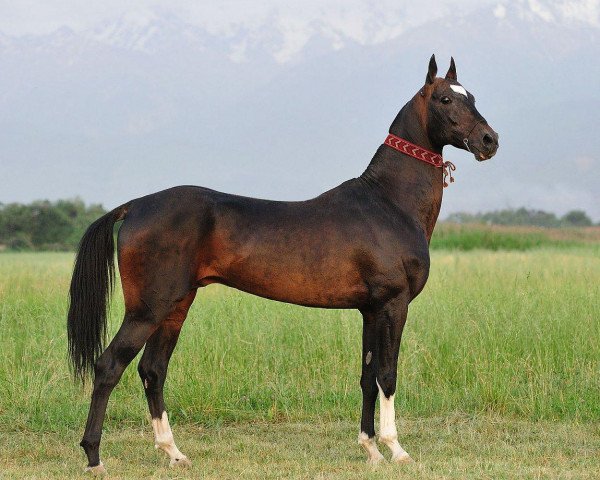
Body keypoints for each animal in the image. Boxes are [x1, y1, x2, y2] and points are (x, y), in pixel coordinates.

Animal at [67, 54, 496, 474]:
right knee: (109, 366)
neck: (388, 202)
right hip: (148, 309)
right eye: (445, 99)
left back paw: (174, 453)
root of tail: (136, 205)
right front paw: (397, 450)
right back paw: (94, 457)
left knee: (153, 370)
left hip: (176, 306)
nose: (489, 140)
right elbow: (387, 376)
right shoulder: (393, 304)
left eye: (472, 96)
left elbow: (367, 376)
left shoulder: (370, 310)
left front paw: (370, 449)